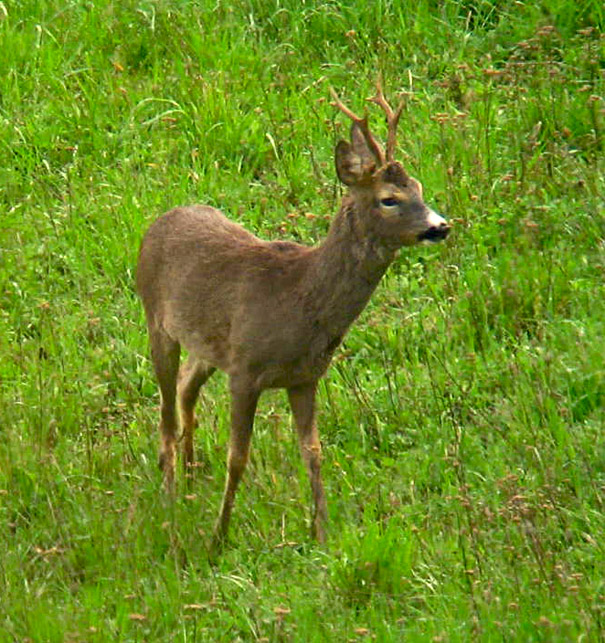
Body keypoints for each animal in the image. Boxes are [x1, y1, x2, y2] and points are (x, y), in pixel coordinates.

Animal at [137, 82, 448, 548]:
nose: (440, 226)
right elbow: (237, 456)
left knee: (184, 387)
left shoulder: (304, 377)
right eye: (389, 199)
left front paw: (321, 532)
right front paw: (218, 539)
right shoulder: (246, 370)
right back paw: (171, 496)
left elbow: (314, 452)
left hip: (208, 345)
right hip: (157, 321)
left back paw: (189, 475)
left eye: (420, 187)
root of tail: (158, 222)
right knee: (166, 413)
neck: (301, 304)